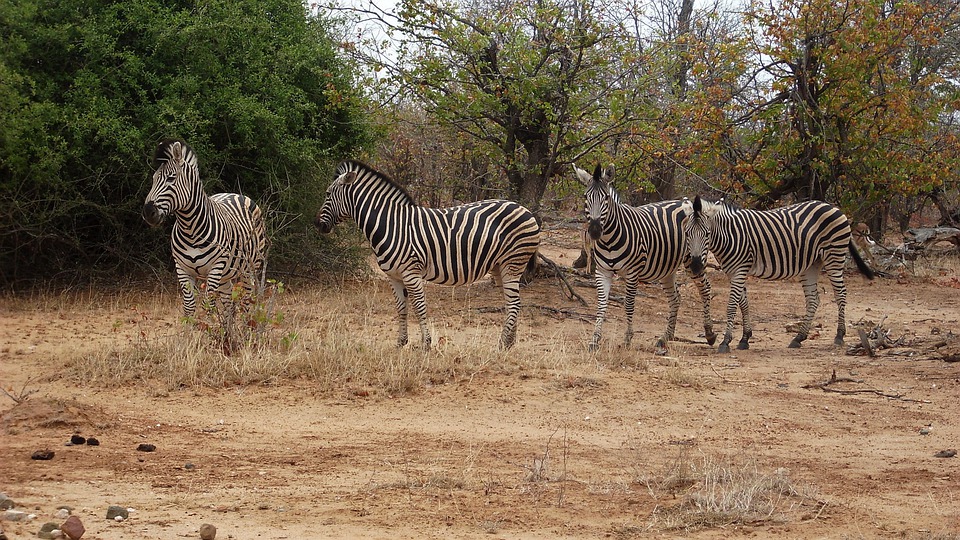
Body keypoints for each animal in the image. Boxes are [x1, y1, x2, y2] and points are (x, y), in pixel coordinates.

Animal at [141, 139, 266, 320]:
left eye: (171, 178)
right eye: (154, 179)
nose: (148, 212)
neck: (190, 229)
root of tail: (235, 193)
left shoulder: (216, 267)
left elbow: (208, 305)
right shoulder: (182, 268)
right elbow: (189, 307)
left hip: (250, 267)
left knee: (247, 302)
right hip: (226, 275)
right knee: (229, 305)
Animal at [316, 159, 540, 350]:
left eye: (327, 194)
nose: (317, 225)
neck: (391, 225)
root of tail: (525, 209)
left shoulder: (411, 273)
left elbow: (419, 307)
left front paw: (426, 344)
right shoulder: (393, 277)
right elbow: (402, 308)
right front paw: (401, 342)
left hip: (512, 263)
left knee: (514, 303)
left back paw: (502, 344)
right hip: (499, 267)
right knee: (511, 303)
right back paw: (509, 343)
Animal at [572, 162, 716, 352]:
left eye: (606, 198)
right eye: (585, 197)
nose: (595, 231)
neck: (609, 240)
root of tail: (685, 201)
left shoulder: (633, 272)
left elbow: (629, 304)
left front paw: (627, 339)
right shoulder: (603, 271)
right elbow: (601, 304)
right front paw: (594, 340)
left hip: (693, 259)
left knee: (705, 289)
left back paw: (709, 334)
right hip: (666, 267)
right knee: (675, 298)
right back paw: (665, 337)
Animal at [684, 195, 876, 354]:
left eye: (707, 234)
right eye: (686, 233)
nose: (695, 266)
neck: (729, 236)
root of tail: (832, 207)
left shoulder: (740, 270)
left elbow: (732, 306)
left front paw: (725, 341)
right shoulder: (733, 271)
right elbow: (743, 303)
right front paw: (745, 338)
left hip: (834, 256)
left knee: (840, 294)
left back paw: (839, 335)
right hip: (812, 264)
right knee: (813, 299)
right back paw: (799, 337)